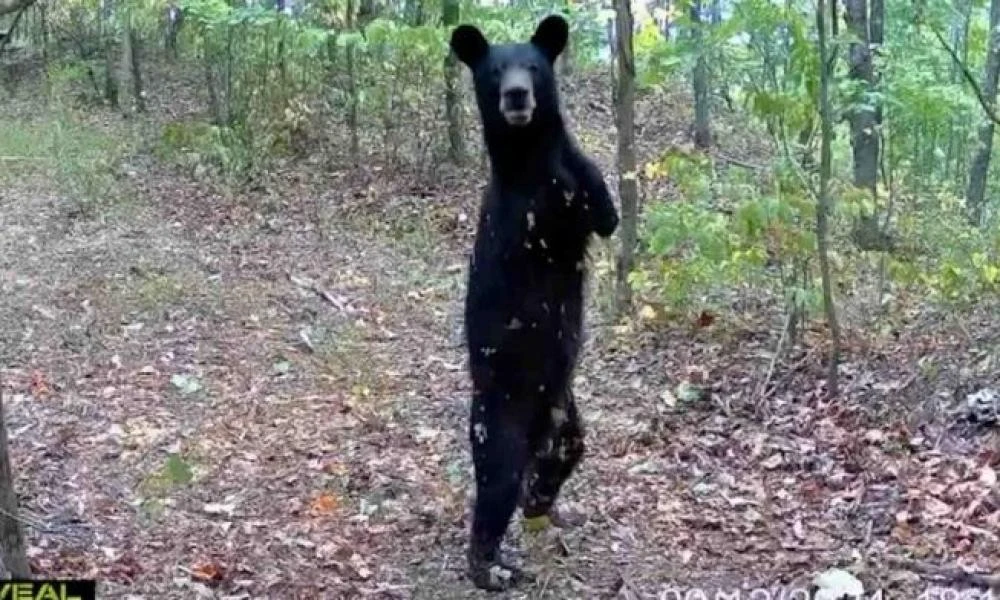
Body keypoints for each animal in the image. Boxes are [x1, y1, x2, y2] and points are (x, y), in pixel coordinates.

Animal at [452, 12, 616, 592]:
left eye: (535, 66)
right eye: (495, 71)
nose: (517, 95)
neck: (527, 155)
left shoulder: (581, 186)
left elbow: (603, 208)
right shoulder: (524, 214)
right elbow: (548, 215)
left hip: (564, 410)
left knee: (565, 452)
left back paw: (541, 501)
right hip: (501, 414)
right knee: (496, 484)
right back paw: (491, 567)